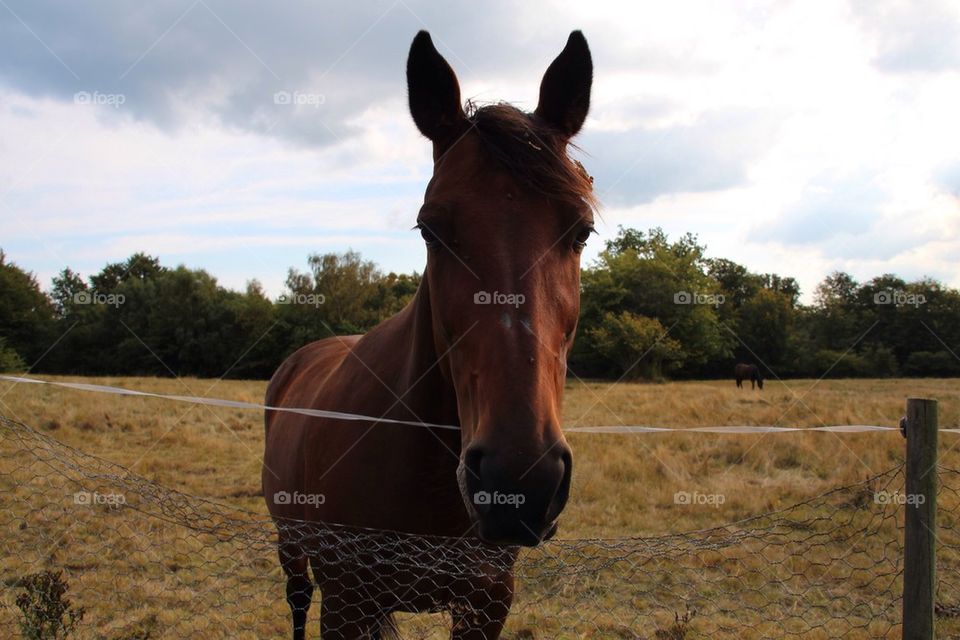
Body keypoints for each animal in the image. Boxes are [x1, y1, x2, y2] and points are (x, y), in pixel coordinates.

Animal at [263, 30, 595, 640]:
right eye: (430, 229)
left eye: (581, 231)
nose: (520, 478)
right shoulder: (345, 603)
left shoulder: (487, 603)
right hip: (292, 553)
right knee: (296, 601)